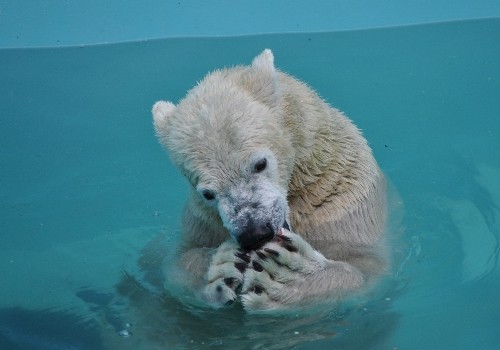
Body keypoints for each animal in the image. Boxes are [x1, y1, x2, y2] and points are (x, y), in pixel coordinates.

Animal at [152, 49, 386, 312]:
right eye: (208, 193)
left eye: (260, 163)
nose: (254, 233)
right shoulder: (202, 221)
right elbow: (175, 266)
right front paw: (223, 267)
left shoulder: (340, 204)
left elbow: (367, 268)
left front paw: (289, 276)